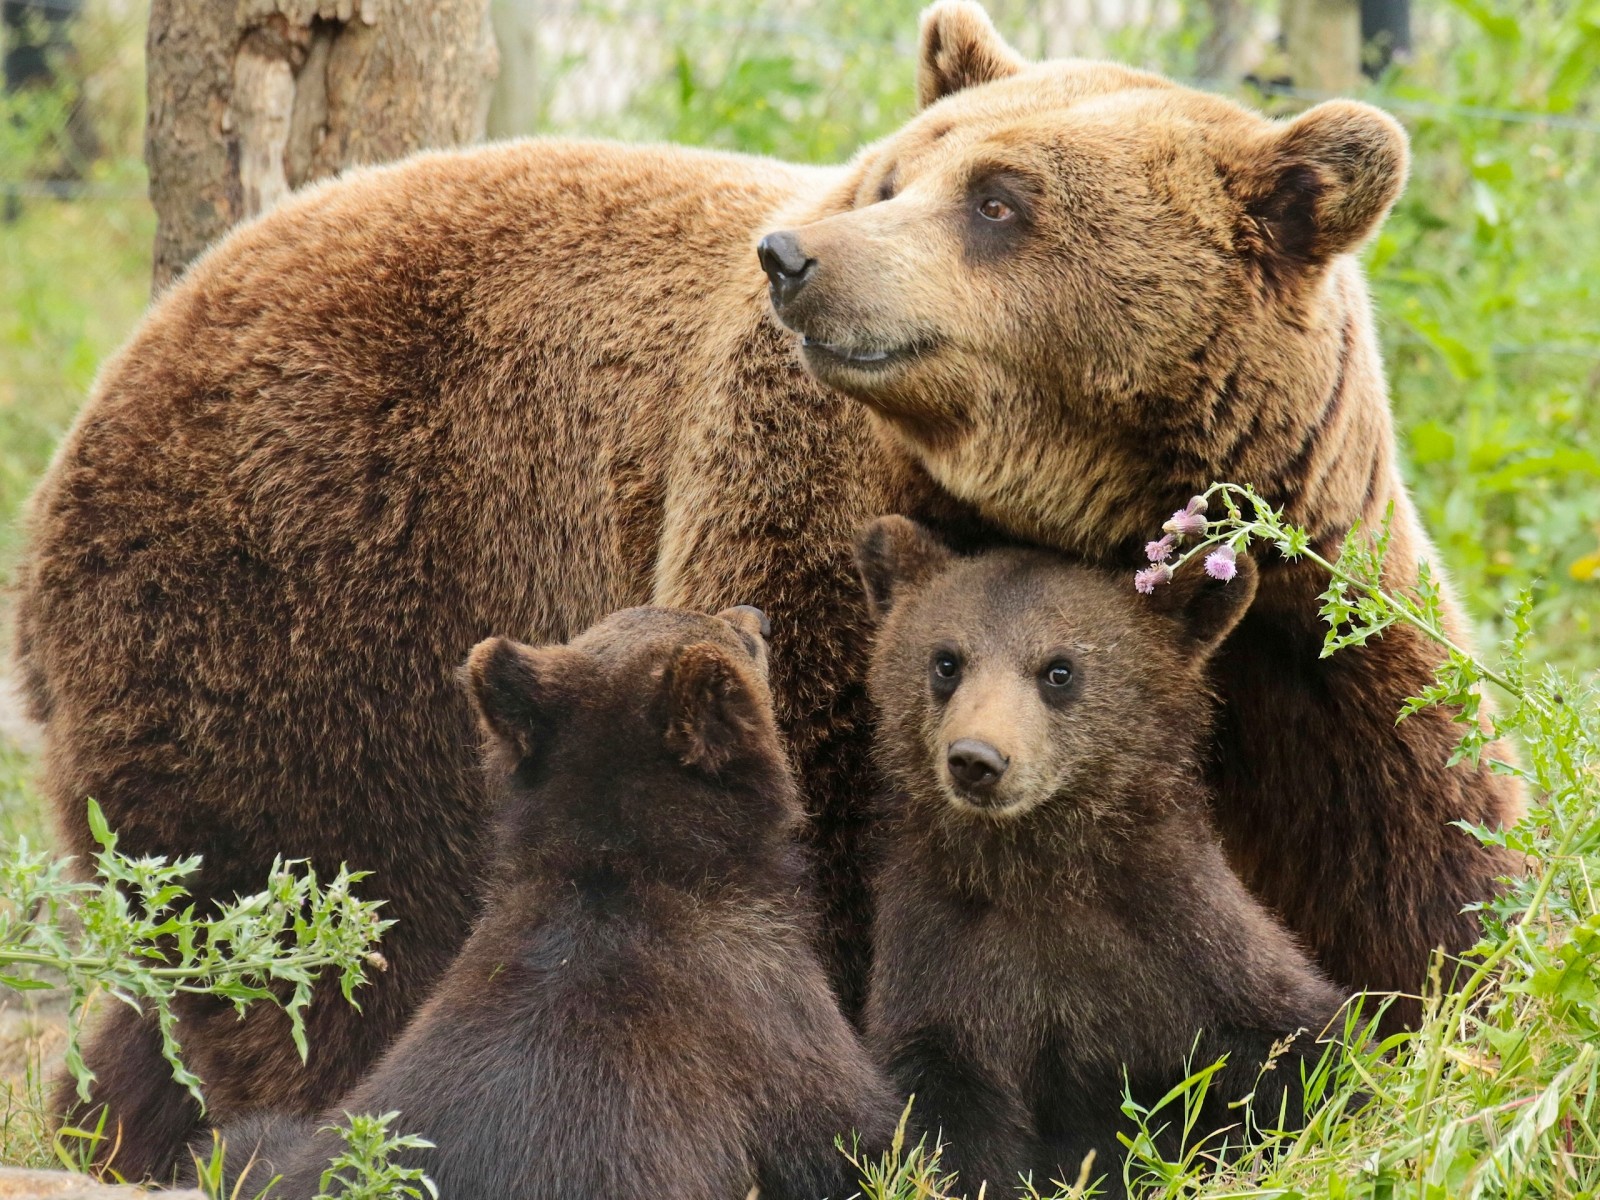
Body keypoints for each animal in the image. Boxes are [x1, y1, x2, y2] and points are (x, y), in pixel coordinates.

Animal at [857, 518, 1356, 1200]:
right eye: (946, 661)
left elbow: (1303, 1045)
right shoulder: (941, 960)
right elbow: (943, 1119)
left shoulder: (1186, 938)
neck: (1040, 872)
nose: (977, 759)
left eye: (1059, 669)